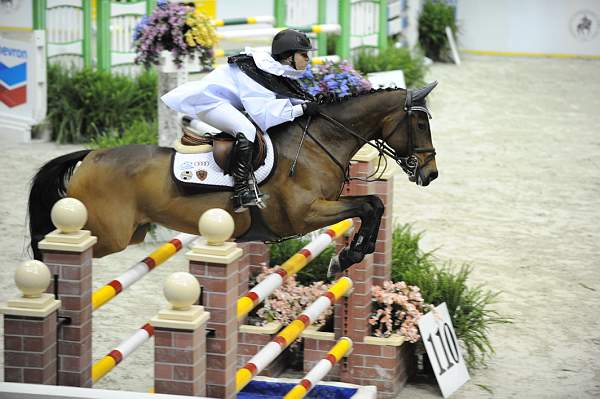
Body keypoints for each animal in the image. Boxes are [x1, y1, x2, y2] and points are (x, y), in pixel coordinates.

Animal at [28, 82, 438, 276]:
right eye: (420, 123)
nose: (430, 173)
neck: (318, 143)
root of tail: (90, 156)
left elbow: (373, 204)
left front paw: (347, 257)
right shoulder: (305, 214)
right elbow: (368, 205)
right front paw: (348, 256)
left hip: (132, 233)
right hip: (105, 234)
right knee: (51, 245)